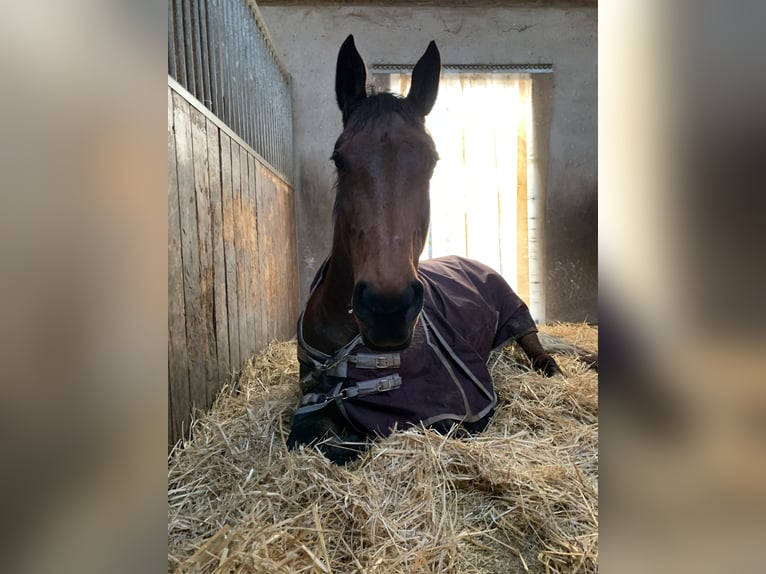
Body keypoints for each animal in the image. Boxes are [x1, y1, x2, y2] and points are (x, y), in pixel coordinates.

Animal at [287, 35, 592, 464]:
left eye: (431, 160)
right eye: (339, 159)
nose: (387, 308)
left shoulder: (461, 403)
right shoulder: (311, 396)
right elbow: (311, 435)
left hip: (520, 319)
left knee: (541, 353)